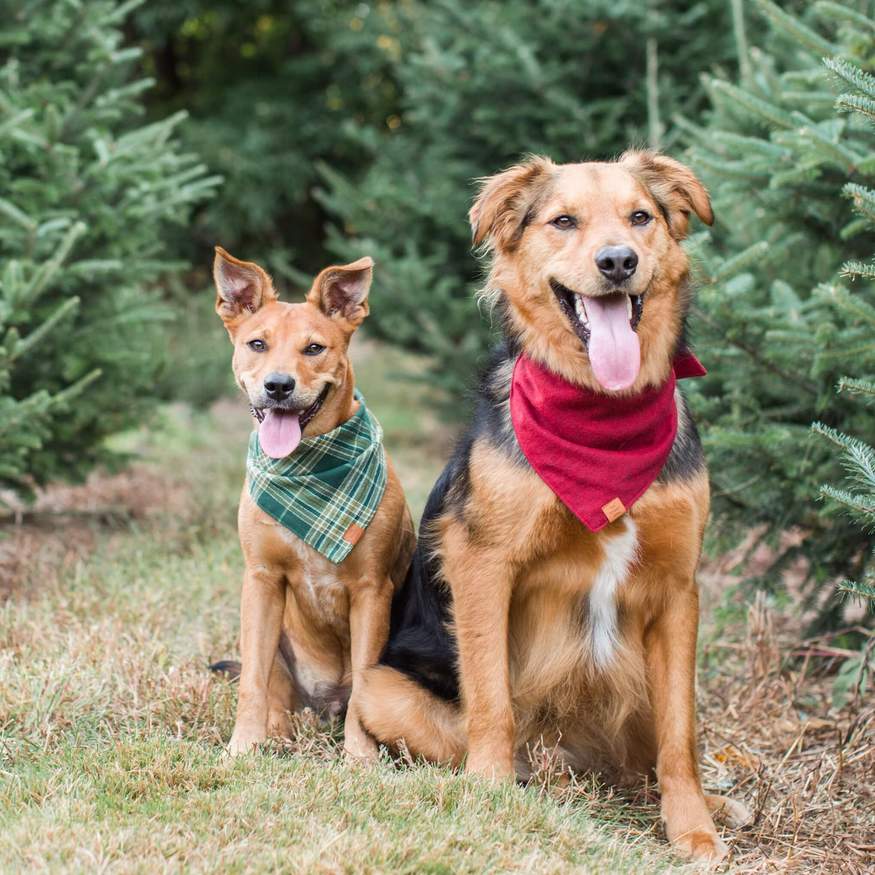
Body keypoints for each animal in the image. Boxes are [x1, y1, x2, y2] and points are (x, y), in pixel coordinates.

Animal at [214, 245, 416, 760]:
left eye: (314, 348)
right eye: (257, 344)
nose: (278, 386)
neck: (306, 473)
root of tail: (327, 704)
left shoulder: (371, 591)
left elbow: (366, 682)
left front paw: (360, 758)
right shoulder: (262, 580)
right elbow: (253, 683)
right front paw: (242, 747)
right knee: (272, 687)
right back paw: (277, 733)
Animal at [356, 152, 752, 864]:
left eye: (640, 217)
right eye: (563, 221)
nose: (618, 261)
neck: (600, 413)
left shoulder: (678, 587)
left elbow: (681, 734)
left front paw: (693, 828)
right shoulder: (483, 565)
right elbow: (492, 699)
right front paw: (488, 801)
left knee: (651, 752)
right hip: (377, 688)